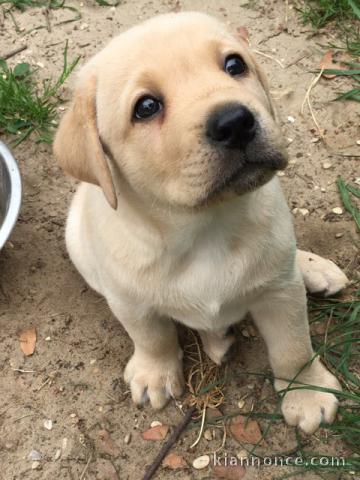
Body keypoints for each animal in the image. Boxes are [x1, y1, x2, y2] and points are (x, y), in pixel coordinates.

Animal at [54, 12, 348, 436]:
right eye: (146, 106)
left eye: (234, 65)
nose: (236, 122)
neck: (204, 227)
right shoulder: (130, 302)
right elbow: (153, 338)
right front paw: (155, 374)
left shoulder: (280, 293)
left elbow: (293, 347)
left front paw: (306, 392)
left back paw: (315, 269)